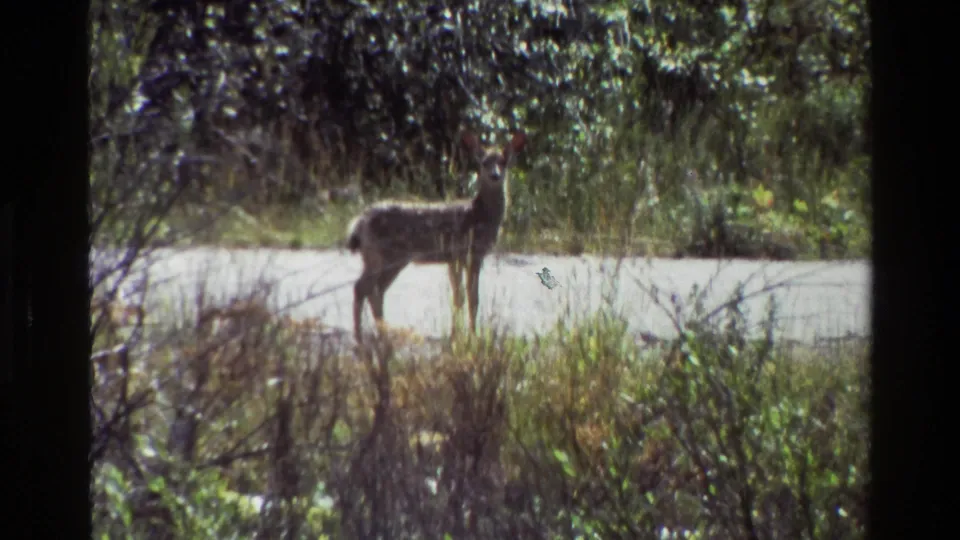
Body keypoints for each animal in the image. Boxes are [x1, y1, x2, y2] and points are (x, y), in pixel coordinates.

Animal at [345, 130, 527, 344]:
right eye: (484, 162)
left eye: (503, 162)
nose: (495, 175)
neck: (478, 215)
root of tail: (360, 222)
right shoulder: (466, 253)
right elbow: (469, 298)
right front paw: (470, 336)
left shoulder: (460, 258)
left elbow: (462, 297)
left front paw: (460, 334)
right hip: (382, 255)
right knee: (362, 288)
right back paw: (360, 335)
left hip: (388, 259)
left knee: (376, 290)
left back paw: (383, 331)